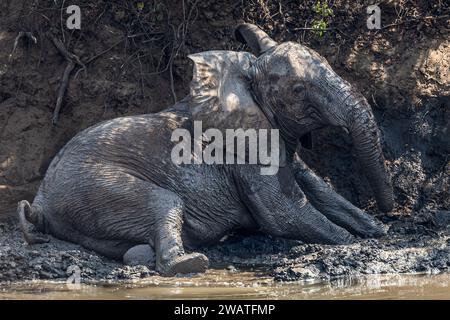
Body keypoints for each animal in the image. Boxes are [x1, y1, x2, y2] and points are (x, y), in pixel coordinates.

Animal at [17, 23, 392, 276]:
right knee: (164, 200)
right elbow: (285, 213)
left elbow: (317, 189)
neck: (242, 75)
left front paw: (377, 230)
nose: (390, 213)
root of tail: (40, 202)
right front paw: (357, 241)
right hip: (89, 187)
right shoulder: (245, 150)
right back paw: (189, 263)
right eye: (299, 90)